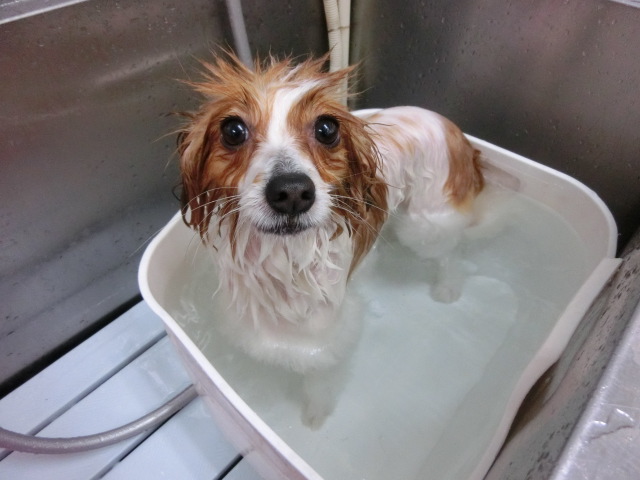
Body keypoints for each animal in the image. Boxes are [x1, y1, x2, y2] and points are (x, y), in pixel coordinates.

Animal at [177, 54, 484, 428]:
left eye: (327, 129)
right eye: (233, 130)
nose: (292, 192)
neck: (282, 261)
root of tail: (452, 128)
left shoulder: (324, 339)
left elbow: (318, 374)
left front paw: (316, 408)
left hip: (423, 224)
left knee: (448, 251)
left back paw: (447, 285)